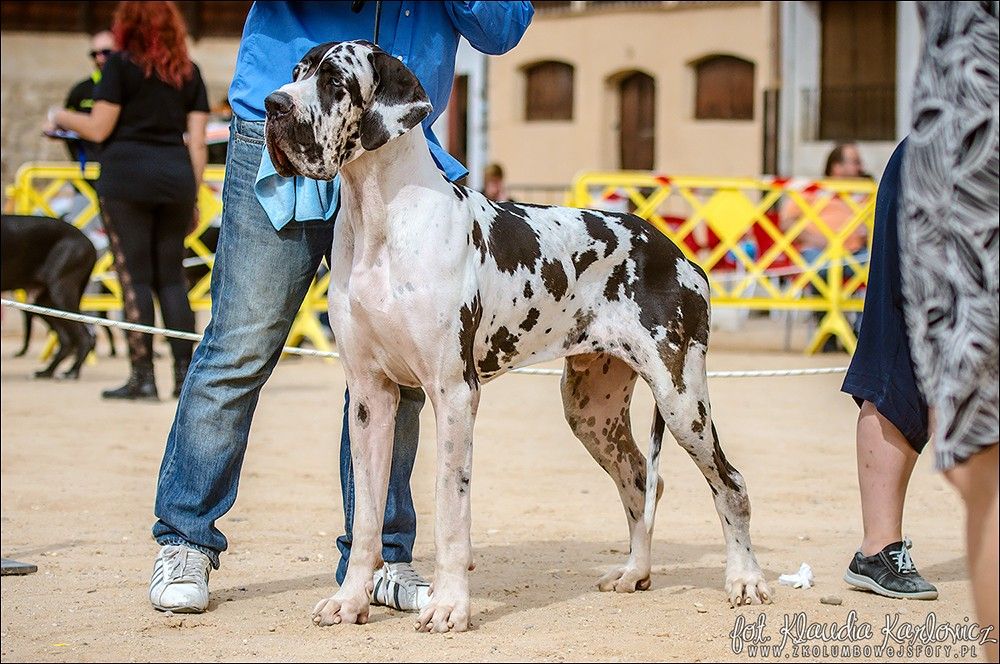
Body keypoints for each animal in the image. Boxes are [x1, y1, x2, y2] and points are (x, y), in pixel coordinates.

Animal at [1, 214, 96, 378]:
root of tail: (87, 240)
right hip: (44, 303)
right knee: (66, 340)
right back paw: (47, 371)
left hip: (61, 292)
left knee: (84, 337)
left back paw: (72, 372)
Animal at [265, 41, 771, 632]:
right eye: (296, 72)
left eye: (335, 83)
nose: (272, 105)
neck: (380, 220)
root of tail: (678, 252)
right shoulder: (370, 396)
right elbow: (366, 515)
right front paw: (350, 600)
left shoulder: (454, 394)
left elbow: (450, 511)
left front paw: (448, 605)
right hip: (591, 410)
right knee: (641, 478)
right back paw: (634, 572)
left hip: (681, 399)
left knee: (730, 483)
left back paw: (745, 580)